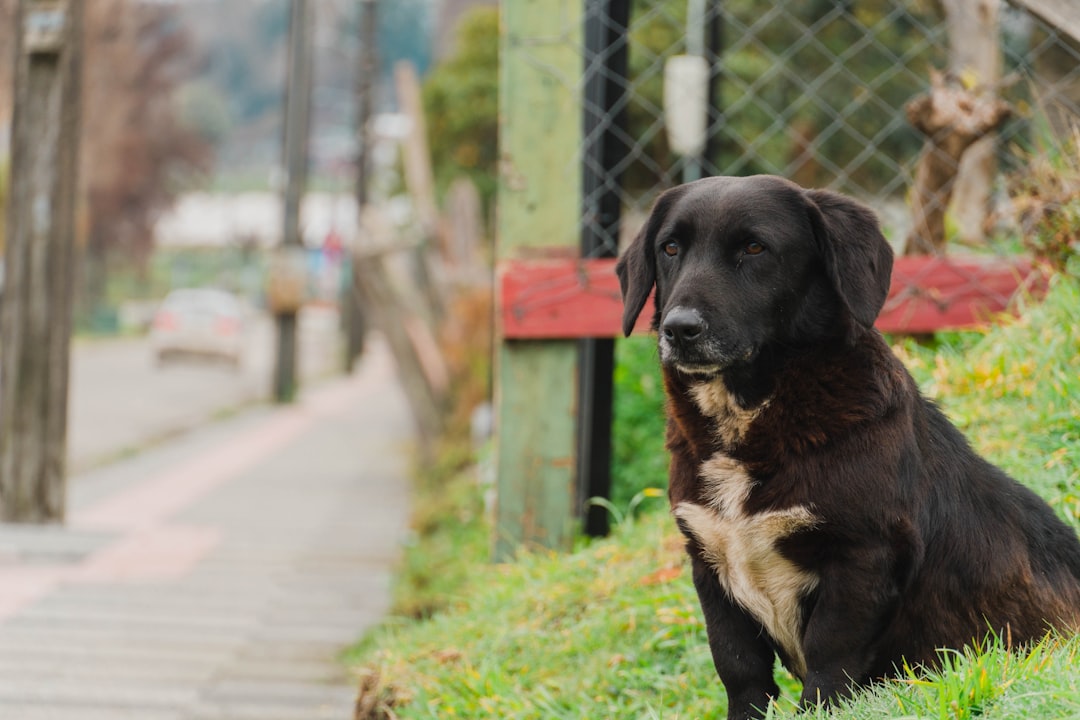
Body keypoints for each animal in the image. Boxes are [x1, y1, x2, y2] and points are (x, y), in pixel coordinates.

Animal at [617, 175, 1080, 720]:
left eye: (754, 248)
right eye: (670, 248)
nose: (680, 329)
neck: (751, 421)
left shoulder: (862, 556)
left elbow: (829, 658)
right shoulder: (710, 565)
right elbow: (738, 667)